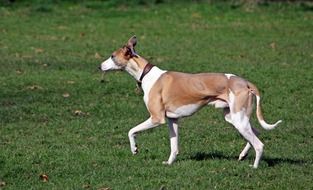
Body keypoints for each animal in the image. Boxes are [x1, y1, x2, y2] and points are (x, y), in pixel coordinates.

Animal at [98, 35, 282, 168]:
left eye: (112, 56)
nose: (99, 66)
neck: (146, 73)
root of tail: (245, 82)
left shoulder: (157, 118)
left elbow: (131, 131)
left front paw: (134, 149)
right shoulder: (172, 120)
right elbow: (174, 146)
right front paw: (169, 163)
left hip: (239, 120)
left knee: (259, 144)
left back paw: (254, 167)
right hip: (233, 118)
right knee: (256, 132)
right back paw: (243, 155)